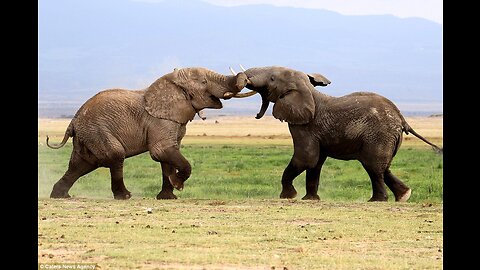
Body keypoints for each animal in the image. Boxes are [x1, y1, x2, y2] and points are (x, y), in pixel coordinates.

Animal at [46, 66, 249, 199]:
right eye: (204, 82)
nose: (246, 78)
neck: (171, 82)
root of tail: (73, 121)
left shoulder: (174, 121)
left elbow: (168, 156)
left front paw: (167, 197)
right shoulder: (160, 121)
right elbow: (161, 151)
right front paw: (178, 185)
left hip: (88, 136)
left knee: (80, 164)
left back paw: (60, 196)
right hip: (97, 131)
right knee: (114, 156)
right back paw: (125, 196)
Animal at [233, 65, 442, 200]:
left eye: (272, 79)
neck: (309, 90)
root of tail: (402, 118)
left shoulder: (304, 125)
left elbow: (306, 158)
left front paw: (287, 197)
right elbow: (315, 162)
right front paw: (310, 199)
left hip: (379, 136)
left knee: (374, 167)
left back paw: (377, 200)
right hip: (387, 138)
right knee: (383, 167)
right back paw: (404, 196)